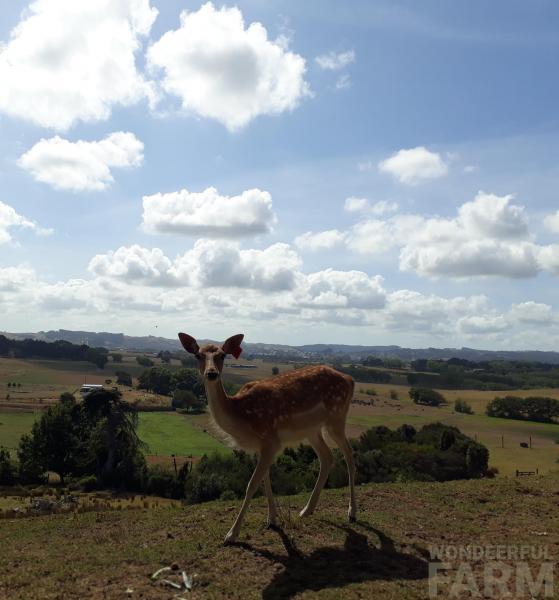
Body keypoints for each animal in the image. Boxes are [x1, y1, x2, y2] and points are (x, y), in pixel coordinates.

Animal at [179, 330, 358, 548]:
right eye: (198, 355)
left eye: (222, 355)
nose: (211, 374)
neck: (242, 417)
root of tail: (350, 379)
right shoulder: (261, 445)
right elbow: (265, 481)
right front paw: (272, 520)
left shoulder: (271, 439)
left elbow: (251, 485)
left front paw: (231, 534)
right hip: (312, 430)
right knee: (327, 457)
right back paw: (307, 510)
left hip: (336, 416)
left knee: (348, 454)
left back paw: (352, 512)